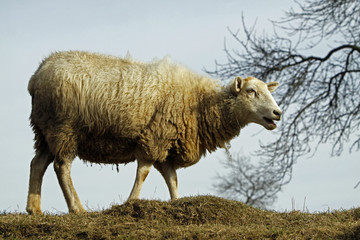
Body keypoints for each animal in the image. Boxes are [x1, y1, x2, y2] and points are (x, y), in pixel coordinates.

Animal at [26, 50, 282, 214]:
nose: (277, 113)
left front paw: (177, 202)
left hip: (45, 129)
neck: (200, 103)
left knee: (37, 163)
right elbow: (144, 172)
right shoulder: (154, 137)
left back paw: (34, 209)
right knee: (62, 167)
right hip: (64, 128)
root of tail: (37, 75)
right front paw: (131, 202)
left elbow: (172, 178)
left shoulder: (167, 143)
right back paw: (76, 208)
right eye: (251, 91)